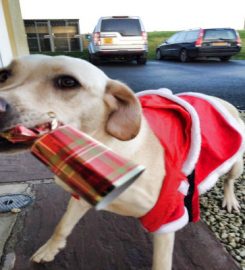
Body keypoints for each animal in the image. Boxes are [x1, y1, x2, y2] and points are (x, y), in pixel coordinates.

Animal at [0, 55, 244, 270]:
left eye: (68, 82)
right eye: (4, 74)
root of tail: (220, 99)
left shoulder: (165, 218)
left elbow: (161, 263)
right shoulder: (81, 196)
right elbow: (62, 225)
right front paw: (50, 249)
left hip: (236, 162)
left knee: (229, 180)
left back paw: (230, 199)